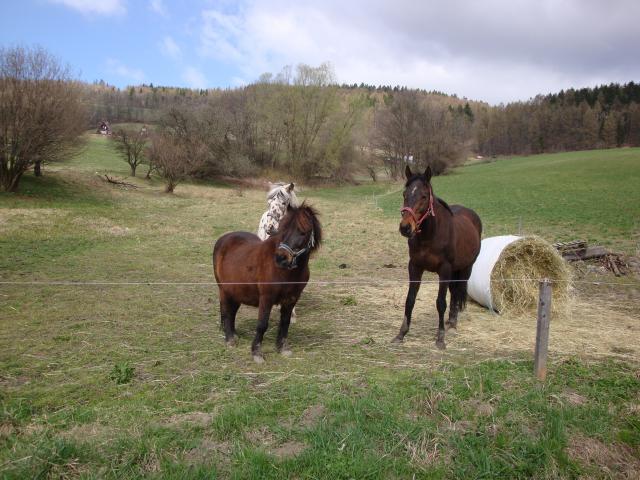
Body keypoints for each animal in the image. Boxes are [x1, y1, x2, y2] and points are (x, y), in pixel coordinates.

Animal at [213, 203, 322, 363]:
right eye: (282, 229)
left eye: (303, 232)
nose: (281, 258)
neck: (285, 272)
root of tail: (224, 238)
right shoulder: (266, 298)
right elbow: (262, 324)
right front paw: (256, 353)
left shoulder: (292, 299)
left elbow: (285, 323)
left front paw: (282, 348)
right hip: (224, 290)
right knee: (226, 311)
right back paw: (230, 339)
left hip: (237, 291)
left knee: (232, 312)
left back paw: (234, 335)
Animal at [393, 165, 482, 349]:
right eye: (404, 194)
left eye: (424, 196)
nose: (405, 228)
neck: (430, 236)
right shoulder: (415, 267)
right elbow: (410, 299)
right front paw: (401, 334)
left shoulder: (444, 270)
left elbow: (441, 303)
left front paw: (440, 338)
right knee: (454, 292)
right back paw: (450, 321)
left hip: (466, 268)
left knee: (457, 292)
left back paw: (453, 323)